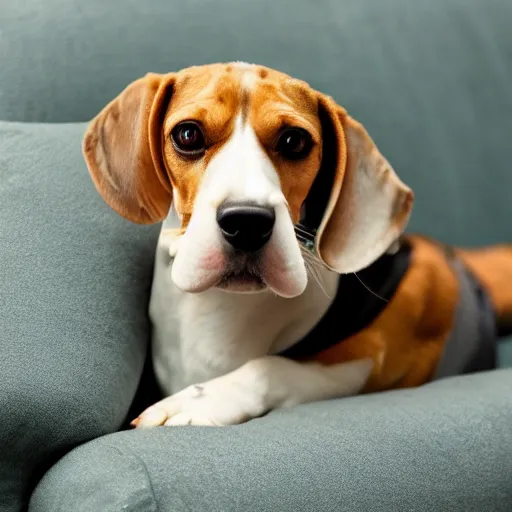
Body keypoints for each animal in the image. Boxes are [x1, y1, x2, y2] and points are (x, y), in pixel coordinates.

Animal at [81, 62, 512, 426]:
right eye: (188, 134)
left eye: (294, 141)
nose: (246, 222)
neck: (223, 310)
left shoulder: (373, 354)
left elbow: (271, 366)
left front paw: (202, 400)